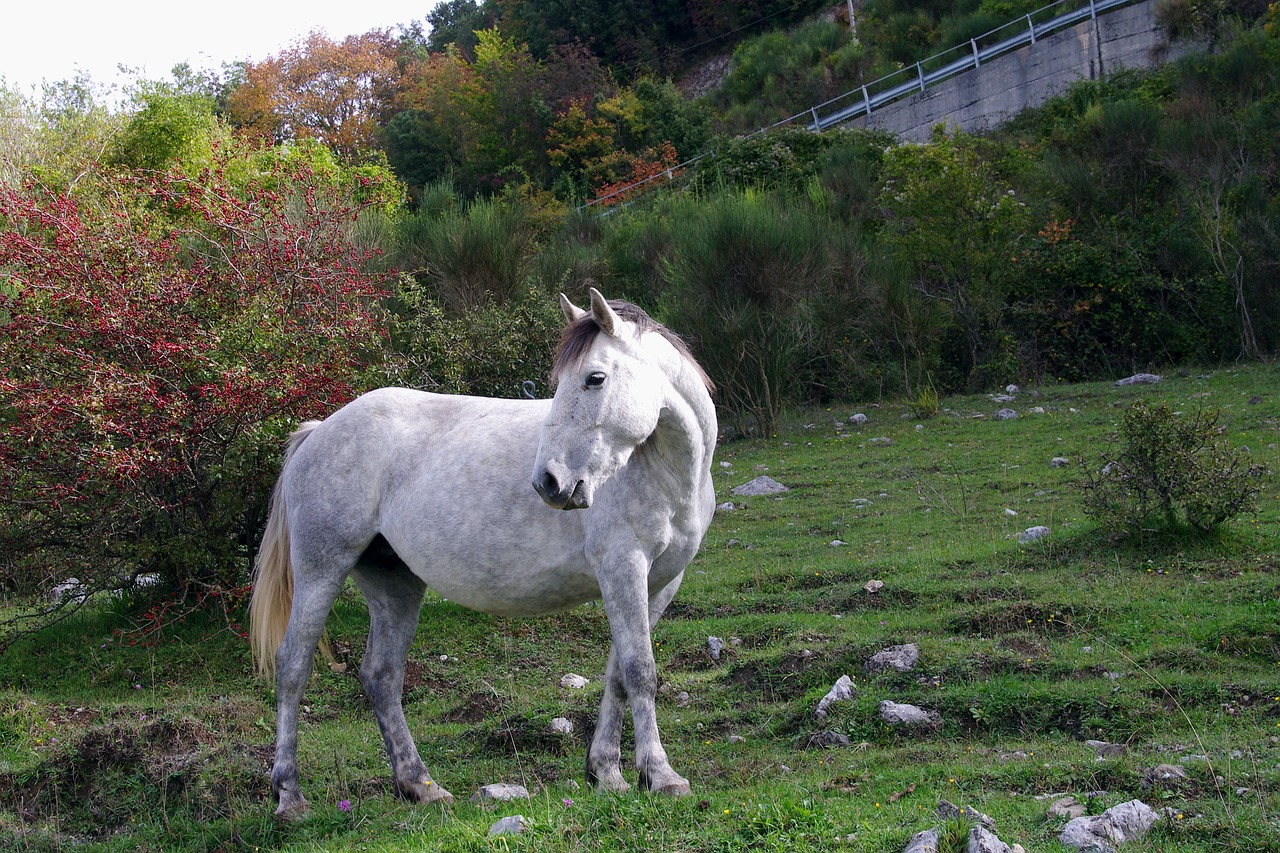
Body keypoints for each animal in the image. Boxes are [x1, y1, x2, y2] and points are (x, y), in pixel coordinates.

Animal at [244, 290, 716, 819]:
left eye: (595, 378)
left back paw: (420, 785)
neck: (667, 474)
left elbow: (619, 672)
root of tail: (319, 430)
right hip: (320, 572)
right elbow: (640, 671)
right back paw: (289, 796)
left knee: (381, 677)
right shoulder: (623, 568)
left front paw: (607, 773)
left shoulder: (659, 583)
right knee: (293, 668)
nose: (548, 482)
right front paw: (661, 775)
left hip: (394, 585)